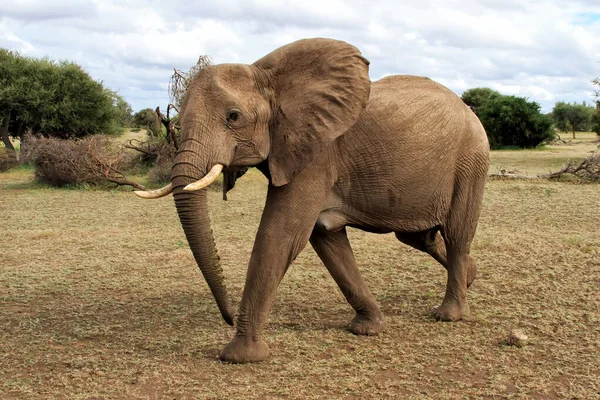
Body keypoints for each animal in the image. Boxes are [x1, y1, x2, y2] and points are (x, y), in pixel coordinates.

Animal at [137, 37, 492, 362]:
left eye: (234, 117)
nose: (226, 317)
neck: (269, 77)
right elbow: (325, 236)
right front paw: (368, 328)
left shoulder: (317, 155)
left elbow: (280, 234)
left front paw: (240, 356)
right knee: (418, 236)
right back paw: (471, 276)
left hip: (471, 159)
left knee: (457, 233)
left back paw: (449, 314)